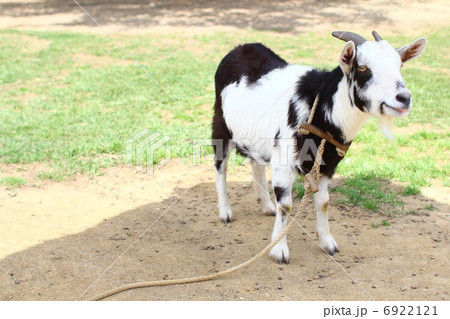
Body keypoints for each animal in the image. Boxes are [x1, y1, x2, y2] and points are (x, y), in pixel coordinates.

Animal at [211, 31, 426, 264]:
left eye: (399, 65)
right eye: (362, 67)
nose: (404, 98)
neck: (318, 108)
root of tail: (240, 48)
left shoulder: (327, 165)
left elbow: (323, 202)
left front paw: (327, 243)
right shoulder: (283, 161)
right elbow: (286, 205)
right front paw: (279, 250)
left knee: (256, 163)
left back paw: (266, 206)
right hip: (220, 125)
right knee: (220, 167)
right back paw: (225, 212)